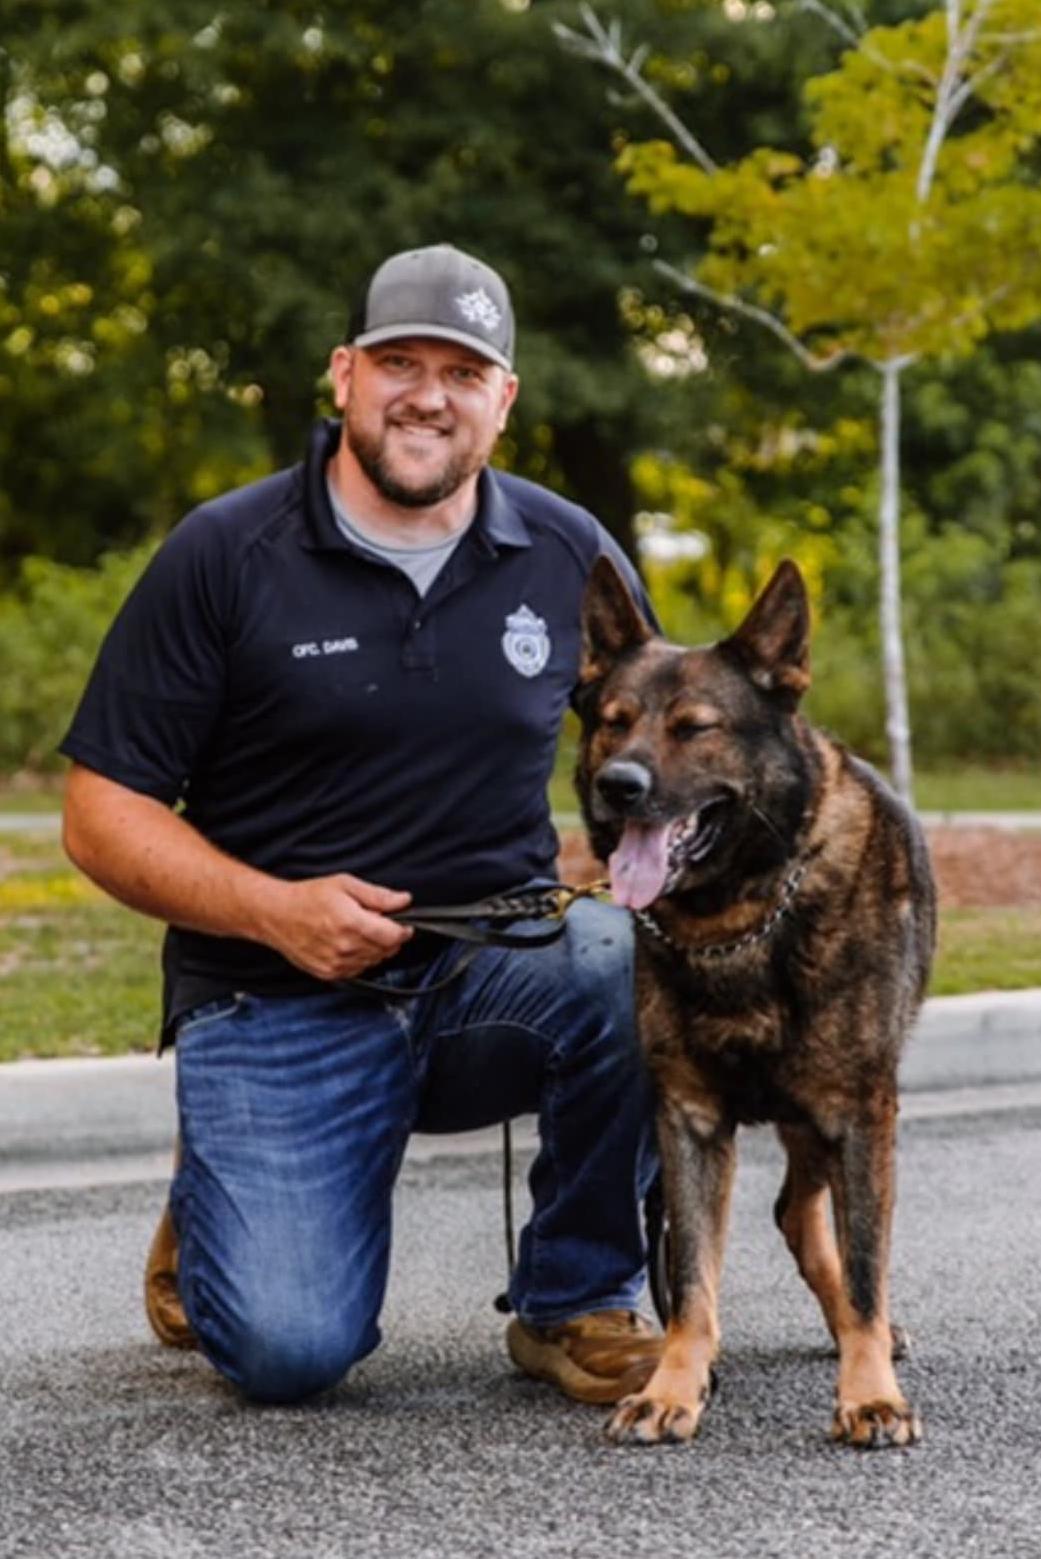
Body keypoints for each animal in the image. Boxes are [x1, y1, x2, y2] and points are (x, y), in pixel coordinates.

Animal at [576, 558, 935, 1446]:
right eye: (614, 721)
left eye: (694, 727)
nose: (614, 786)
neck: (736, 919)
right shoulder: (688, 1121)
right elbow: (691, 1281)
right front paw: (672, 1386)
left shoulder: (858, 1113)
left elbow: (868, 1265)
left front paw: (869, 1395)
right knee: (792, 1215)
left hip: (823, 1119)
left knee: (813, 1222)